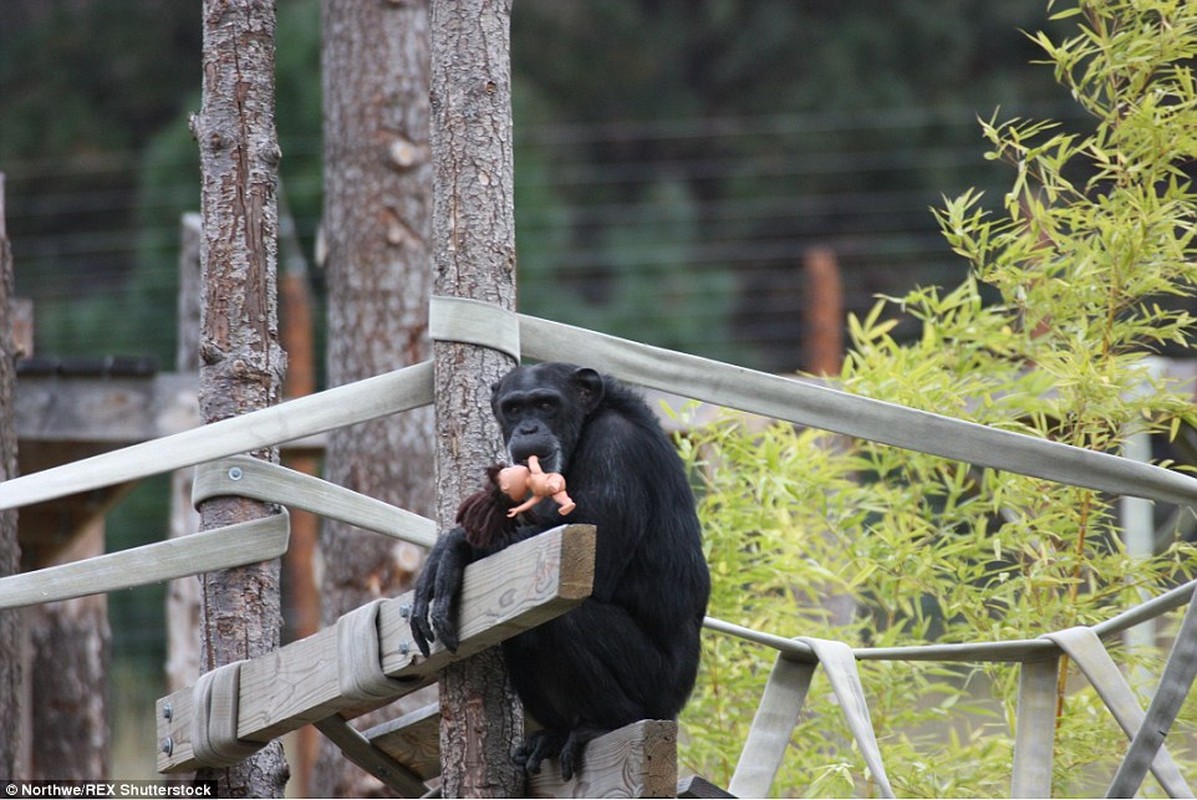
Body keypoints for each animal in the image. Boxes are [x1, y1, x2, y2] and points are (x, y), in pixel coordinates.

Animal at [411, 361, 708, 780]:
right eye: (514, 409)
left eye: (546, 404)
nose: (528, 428)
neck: (586, 425)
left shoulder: (617, 448)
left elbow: (589, 558)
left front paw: (452, 550)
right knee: (524, 630)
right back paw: (553, 735)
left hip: (657, 690)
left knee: (564, 619)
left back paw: (604, 724)